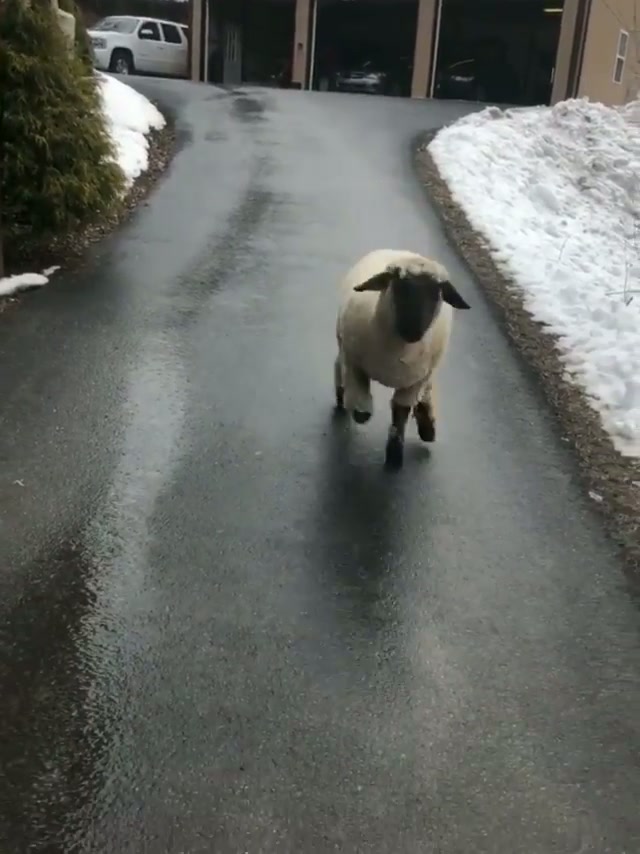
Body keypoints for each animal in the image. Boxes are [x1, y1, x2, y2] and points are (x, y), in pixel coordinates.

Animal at [334, 248, 470, 468]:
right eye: (399, 287)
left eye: (436, 293)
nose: (413, 330)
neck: (400, 351)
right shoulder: (355, 365)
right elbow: (363, 412)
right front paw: (356, 407)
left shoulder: (415, 380)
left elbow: (401, 413)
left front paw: (394, 455)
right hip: (343, 346)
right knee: (339, 365)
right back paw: (341, 396)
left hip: (427, 371)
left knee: (427, 390)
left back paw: (427, 426)